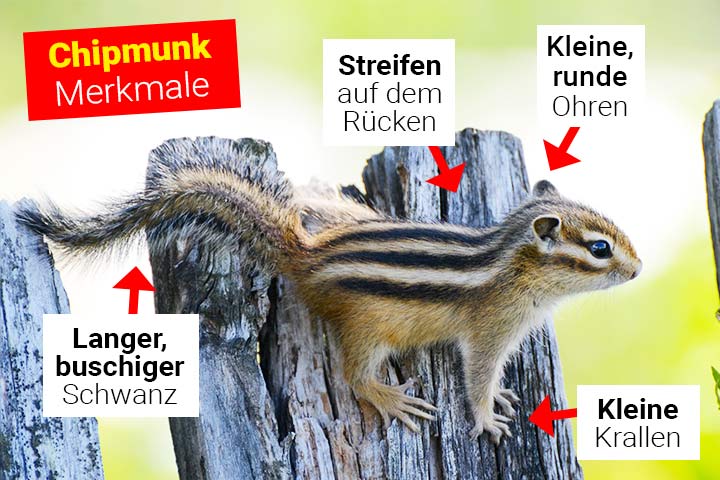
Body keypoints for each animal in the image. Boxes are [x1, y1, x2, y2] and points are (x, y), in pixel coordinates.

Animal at [16, 147, 642, 443]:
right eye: (600, 248)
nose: (637, 270)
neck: (515, 266)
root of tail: (306, 255)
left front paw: (505, 400)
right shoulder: (491, 331)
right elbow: (477, 377)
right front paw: (488, 417)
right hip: (369, 330)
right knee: (355, 376)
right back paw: (391, 398)